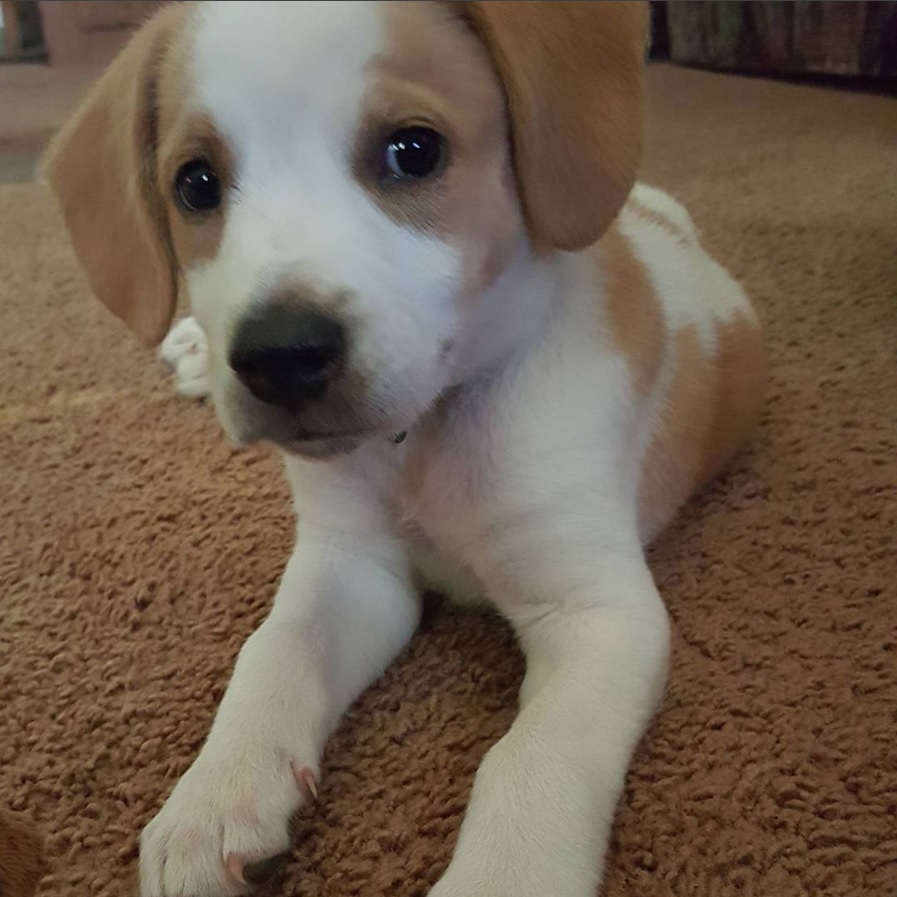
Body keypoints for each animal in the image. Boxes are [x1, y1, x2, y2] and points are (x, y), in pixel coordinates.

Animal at [42, 3, 768, 892]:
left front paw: (502, 876)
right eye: (196, 184)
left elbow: (531, 757)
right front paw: (215, 796)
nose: (279, 356)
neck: (426, 434)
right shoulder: (351, 563)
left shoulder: (598, 612)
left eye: (413, 150)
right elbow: (273, 651)